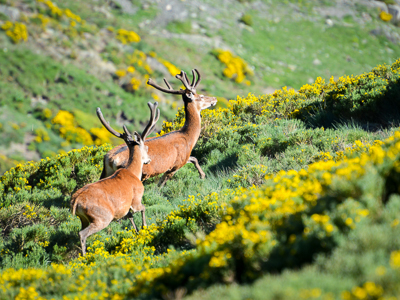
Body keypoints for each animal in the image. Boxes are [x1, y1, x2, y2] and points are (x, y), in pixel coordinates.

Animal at [71, 101, 160, 255]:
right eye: (146, 147)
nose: (148, 160)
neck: (133, 172)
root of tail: (75, 202)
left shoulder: (123, 208)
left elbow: (130, 216)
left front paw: (136, 231)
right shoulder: (136, 198)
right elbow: (142, 208)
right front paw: (144, 227)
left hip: (83, 218)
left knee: (80, 230)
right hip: (102, 217)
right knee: (82, 234)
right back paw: (84, 256)